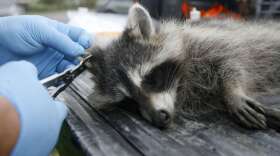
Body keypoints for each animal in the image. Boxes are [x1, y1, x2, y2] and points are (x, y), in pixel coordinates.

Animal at [86, 3, 280, 129]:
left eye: (150, 79)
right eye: (128, 102)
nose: (158, 119)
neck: (181, 84)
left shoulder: (208, 43)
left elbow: (232, 61)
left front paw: (232, 92)